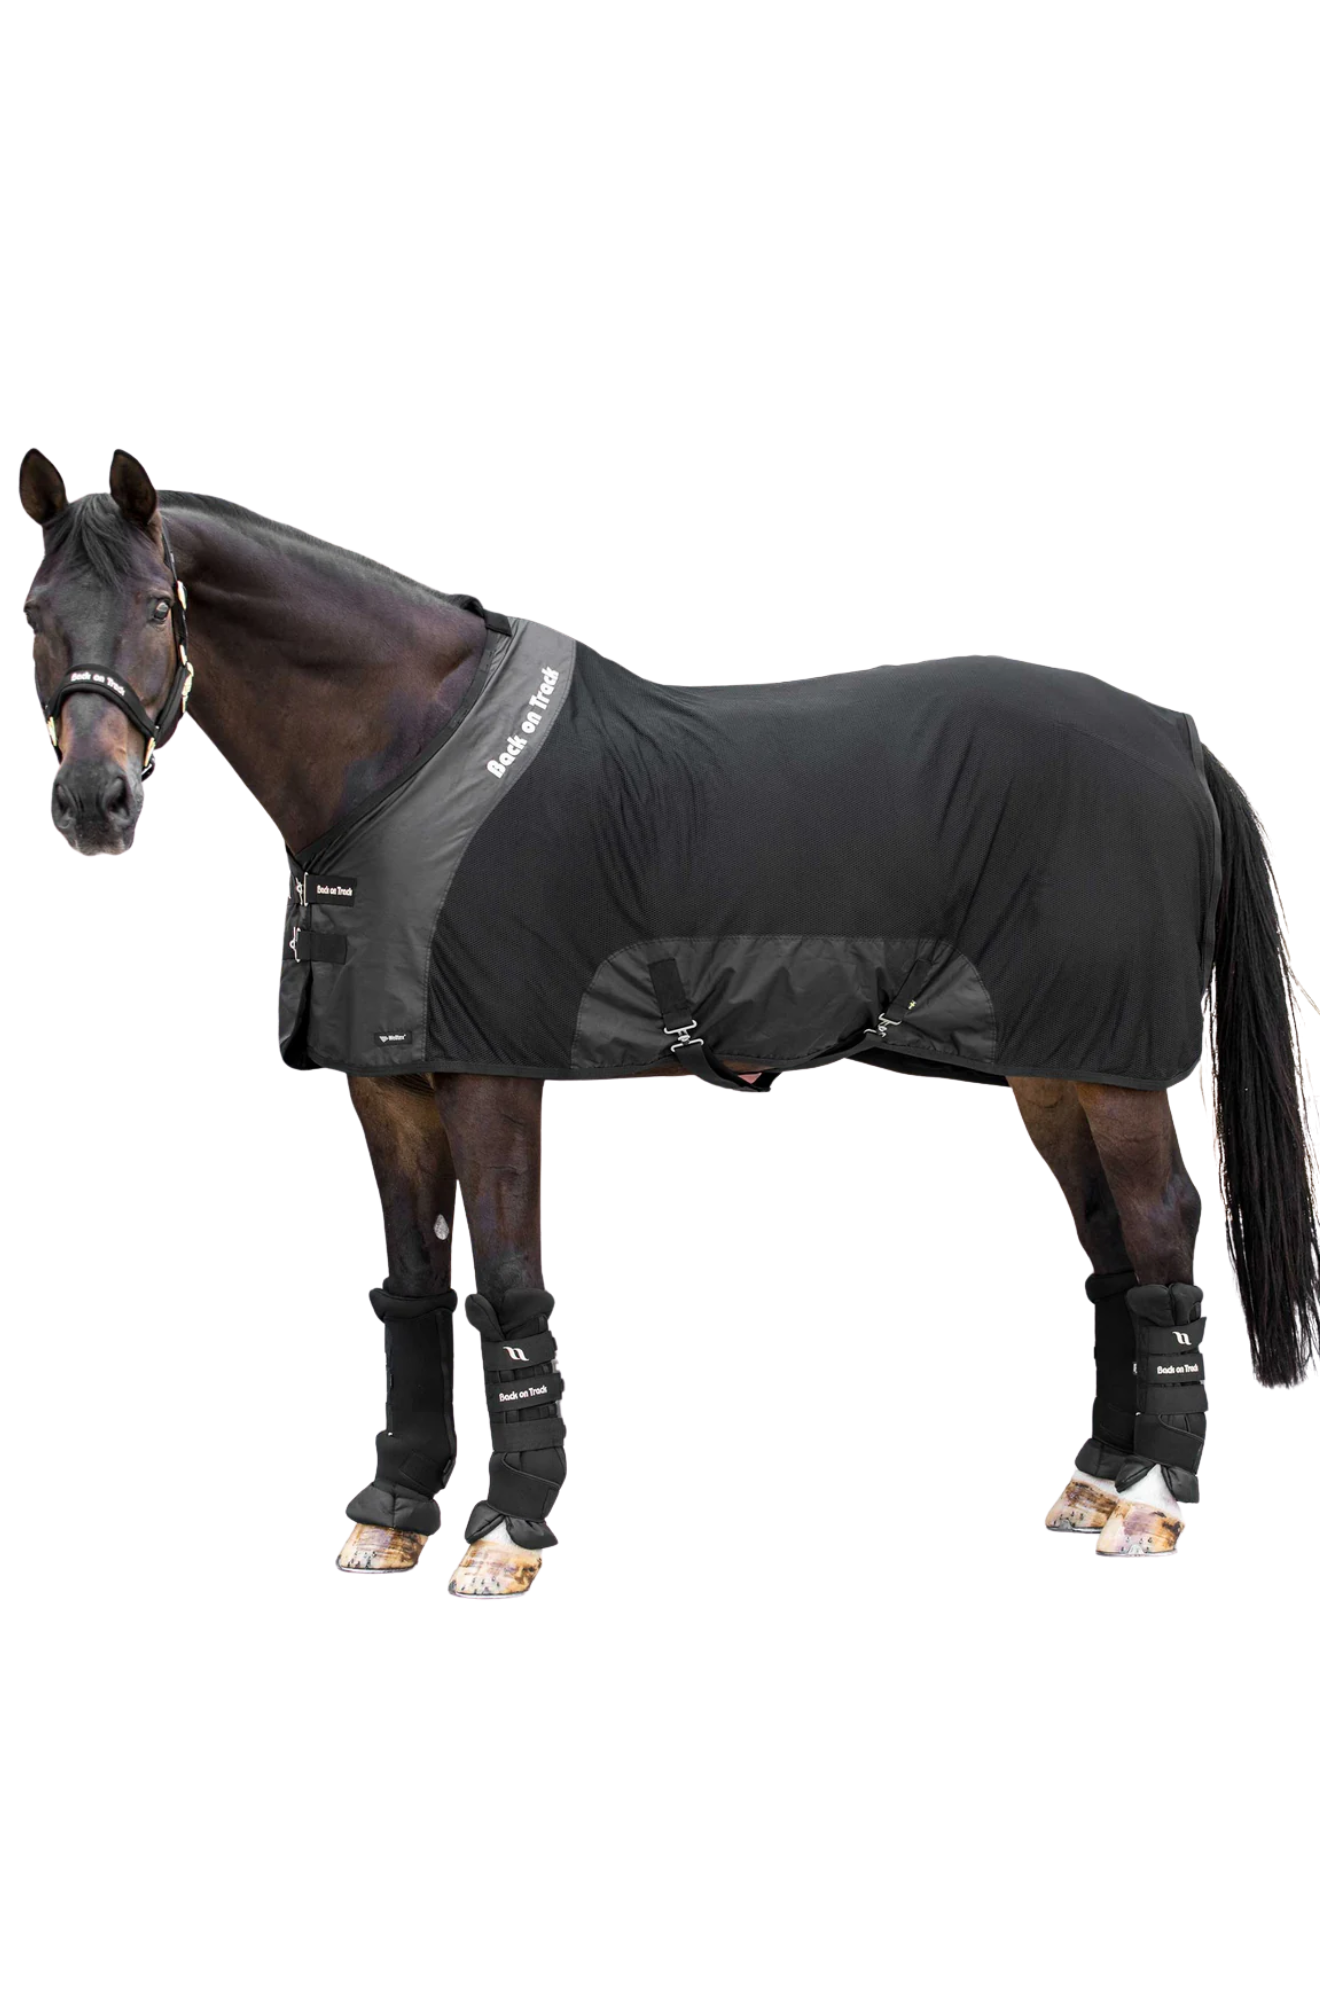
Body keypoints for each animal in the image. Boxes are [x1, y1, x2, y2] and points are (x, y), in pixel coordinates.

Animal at [20, 445, 1318, 1587]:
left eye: (156, 605)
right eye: (34, 611)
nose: (94, 803)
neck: (411, 763)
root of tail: (1175, 735)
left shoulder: (492, 1076)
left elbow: (508, 1289)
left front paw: (507, 1534)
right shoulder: (389, 1082)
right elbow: (415, 1290)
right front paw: (390, 1516)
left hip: (1116, 1067)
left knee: (1162, 1227)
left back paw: (1149, 1505)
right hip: (1054, 1060)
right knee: (1110, 1242)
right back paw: (1096, 1481)